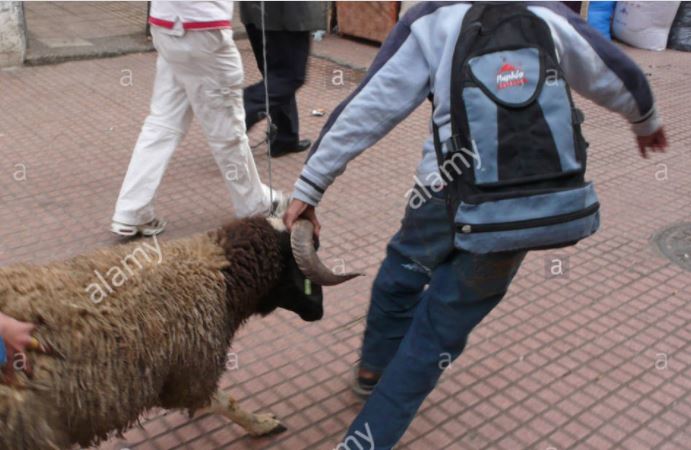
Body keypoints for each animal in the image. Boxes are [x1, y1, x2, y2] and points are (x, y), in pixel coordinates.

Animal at [0, 216, 359, 450]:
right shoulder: (191, 370)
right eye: (297, 270)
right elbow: (222, 401)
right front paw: (262, 424)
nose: (319, 311)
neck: (216, 272)